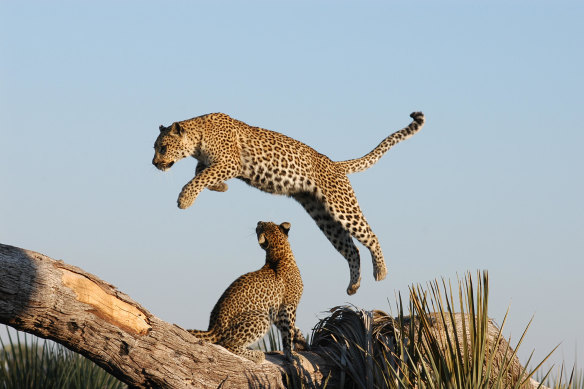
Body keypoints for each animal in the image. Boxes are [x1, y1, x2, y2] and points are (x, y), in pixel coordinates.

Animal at [151, 110, 424, 292]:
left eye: (162, 148)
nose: (154, 164)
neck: (197, 138)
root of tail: (335, 164)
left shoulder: (230, 162)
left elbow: (199, 177)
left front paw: (185, 199)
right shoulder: (216, 164)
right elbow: (201, 173)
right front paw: (220, 187)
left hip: (341, 205)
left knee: (370, 235)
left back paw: (381, 271)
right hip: (324, 217)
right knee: (351, 249)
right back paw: (354, 285)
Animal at [187, 221, 306, 364]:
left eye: (265, 223)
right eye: (261, 226)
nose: (258, 222)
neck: (279, 254)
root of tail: (212, 329)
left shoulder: (276, 310)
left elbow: (294, 329)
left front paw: (303, 343)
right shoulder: (288, 306)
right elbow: (288, 332)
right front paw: (291, 355)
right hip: (262, 317)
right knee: (227, 344)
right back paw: (258, 355)